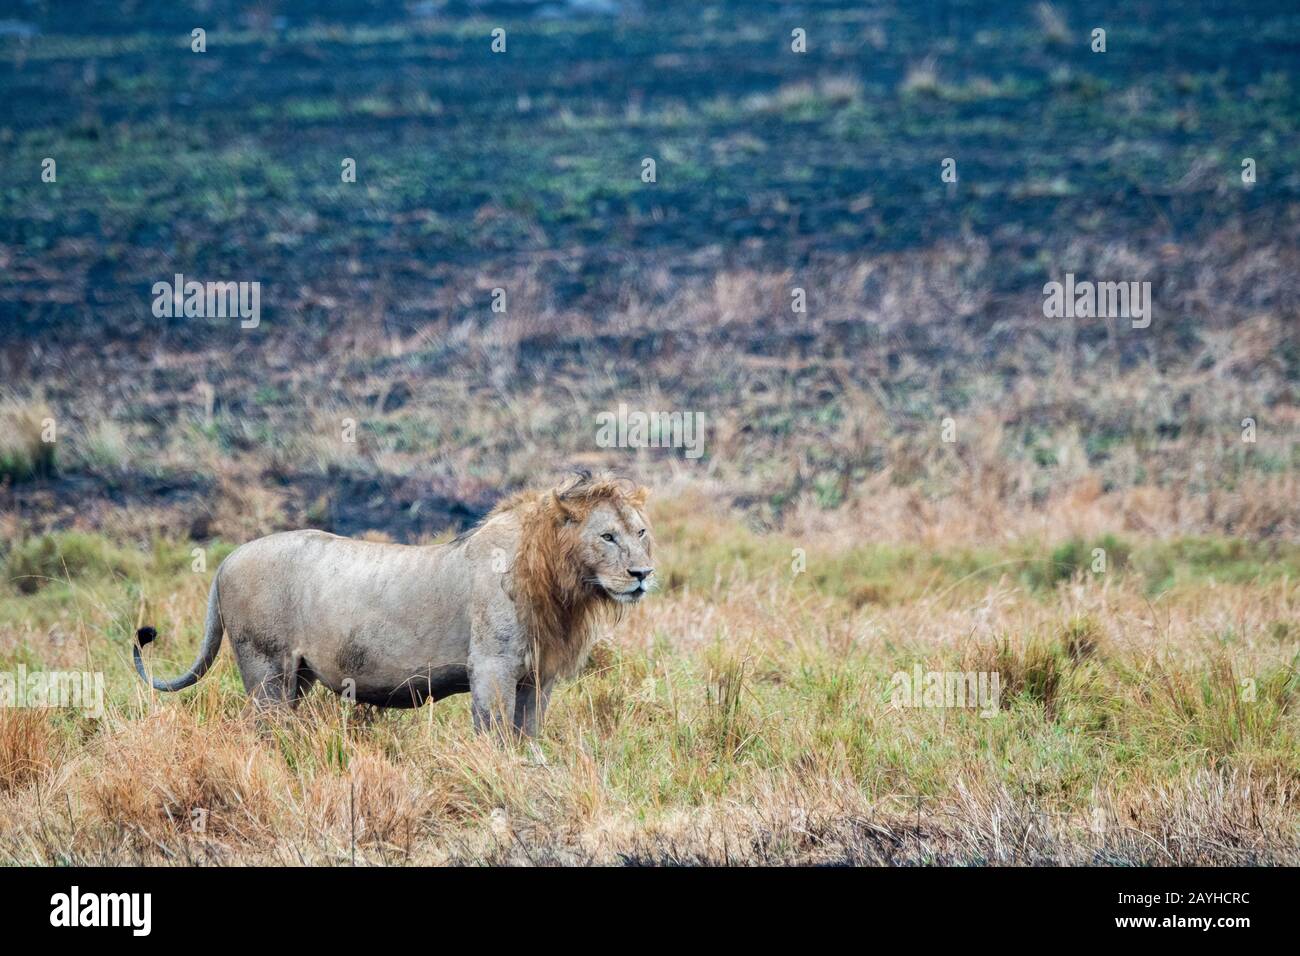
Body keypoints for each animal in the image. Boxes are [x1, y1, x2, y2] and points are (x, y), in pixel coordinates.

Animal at [133, 472, 656, 736]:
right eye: (607, 536)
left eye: (640, 531)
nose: (643, 574)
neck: (560, 582)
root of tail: (226, 560)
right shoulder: (492, 666)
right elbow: (494, 735)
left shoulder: (537, 677)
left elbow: (530, 736)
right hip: (266, 673)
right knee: (262, 730)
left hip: (296, 677)